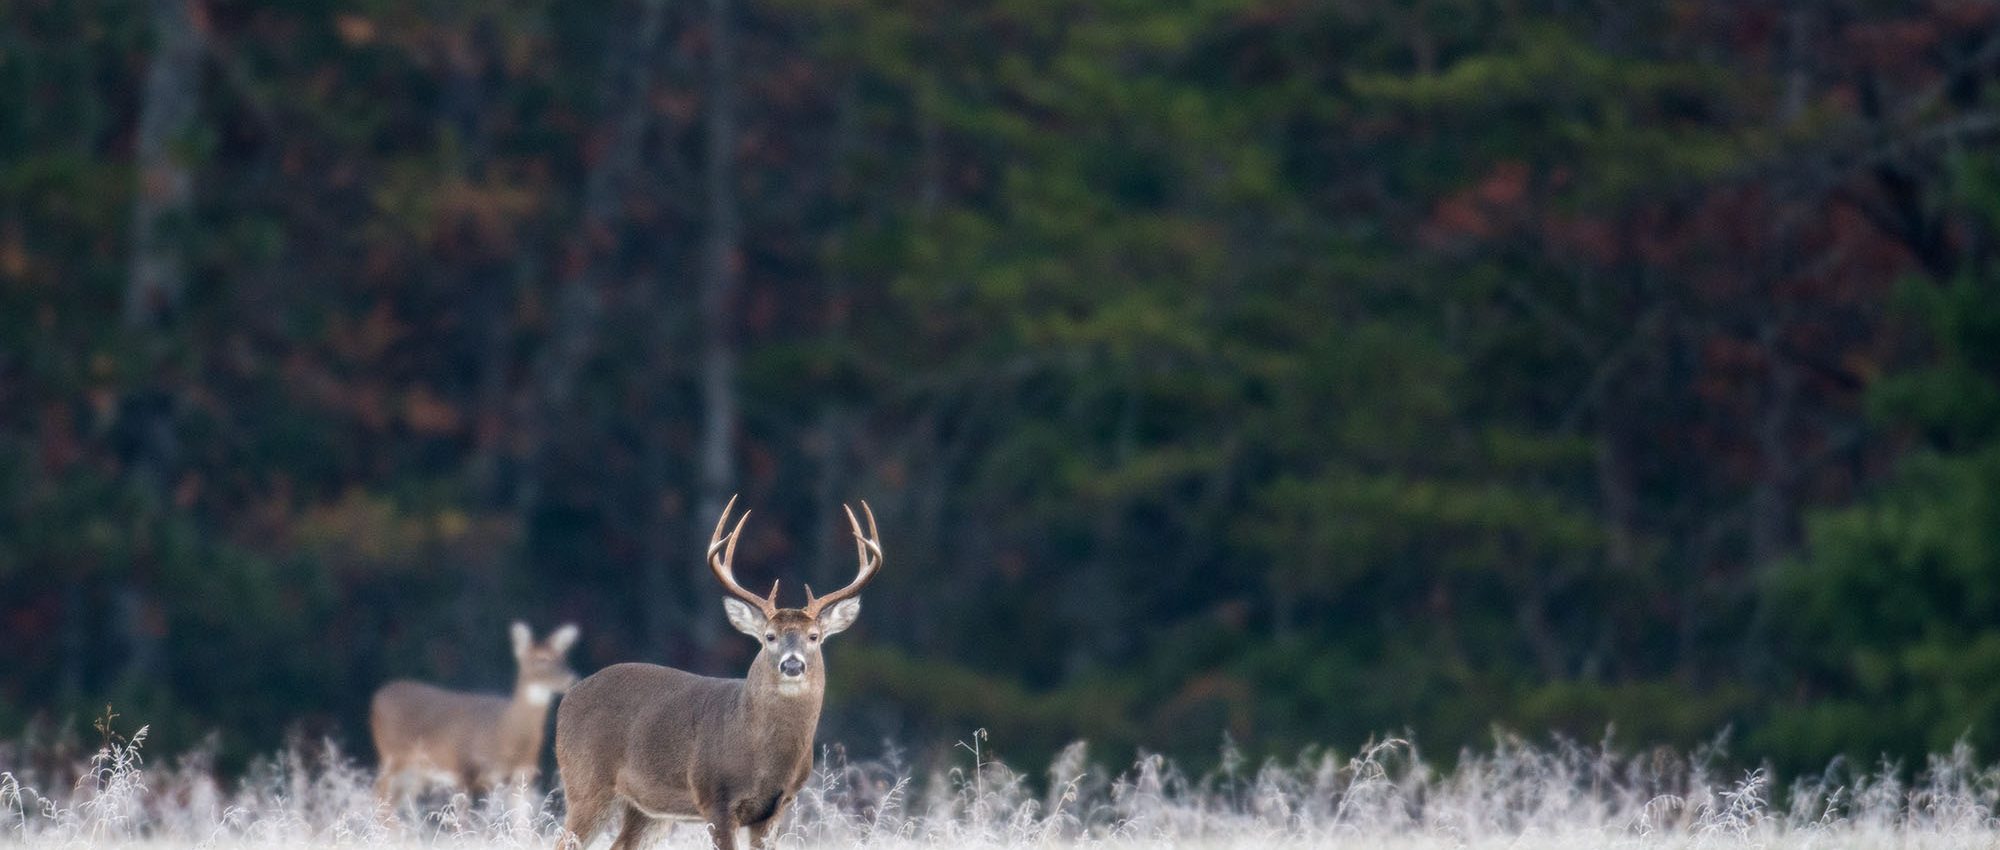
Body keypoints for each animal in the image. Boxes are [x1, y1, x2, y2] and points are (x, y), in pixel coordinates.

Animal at [374, 620, 580, 800]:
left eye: (563, 658)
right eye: (541, 659)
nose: (571, 677)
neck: (505, 734)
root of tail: (379, 695)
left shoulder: (523, 775)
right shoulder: (463, 768)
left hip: (416, 771)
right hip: (392, 755)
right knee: (380, 795)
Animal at [556, 496, 884, 848]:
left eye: (814, 636)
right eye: (769, 636)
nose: (792, 664)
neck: (763, 755)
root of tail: (567, 698)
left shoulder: (777, 807)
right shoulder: (716, 797)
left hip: (648, 807)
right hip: (586, 782)